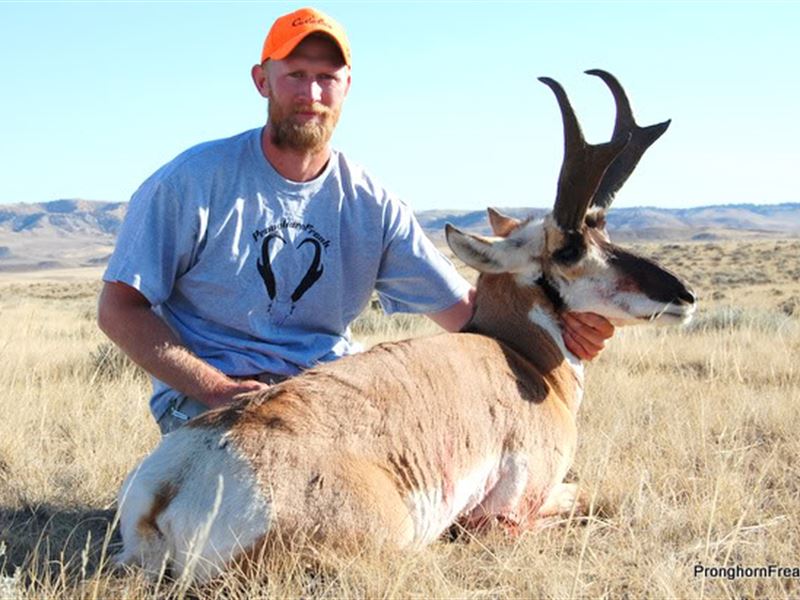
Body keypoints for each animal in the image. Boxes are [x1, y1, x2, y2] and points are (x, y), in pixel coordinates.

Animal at [114, 69, 692, 580]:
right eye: (571, 249)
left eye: (607, 233)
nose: (684, 296)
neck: (520, 356)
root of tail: (180, 479)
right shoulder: (515, 508)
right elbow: (595, 494)